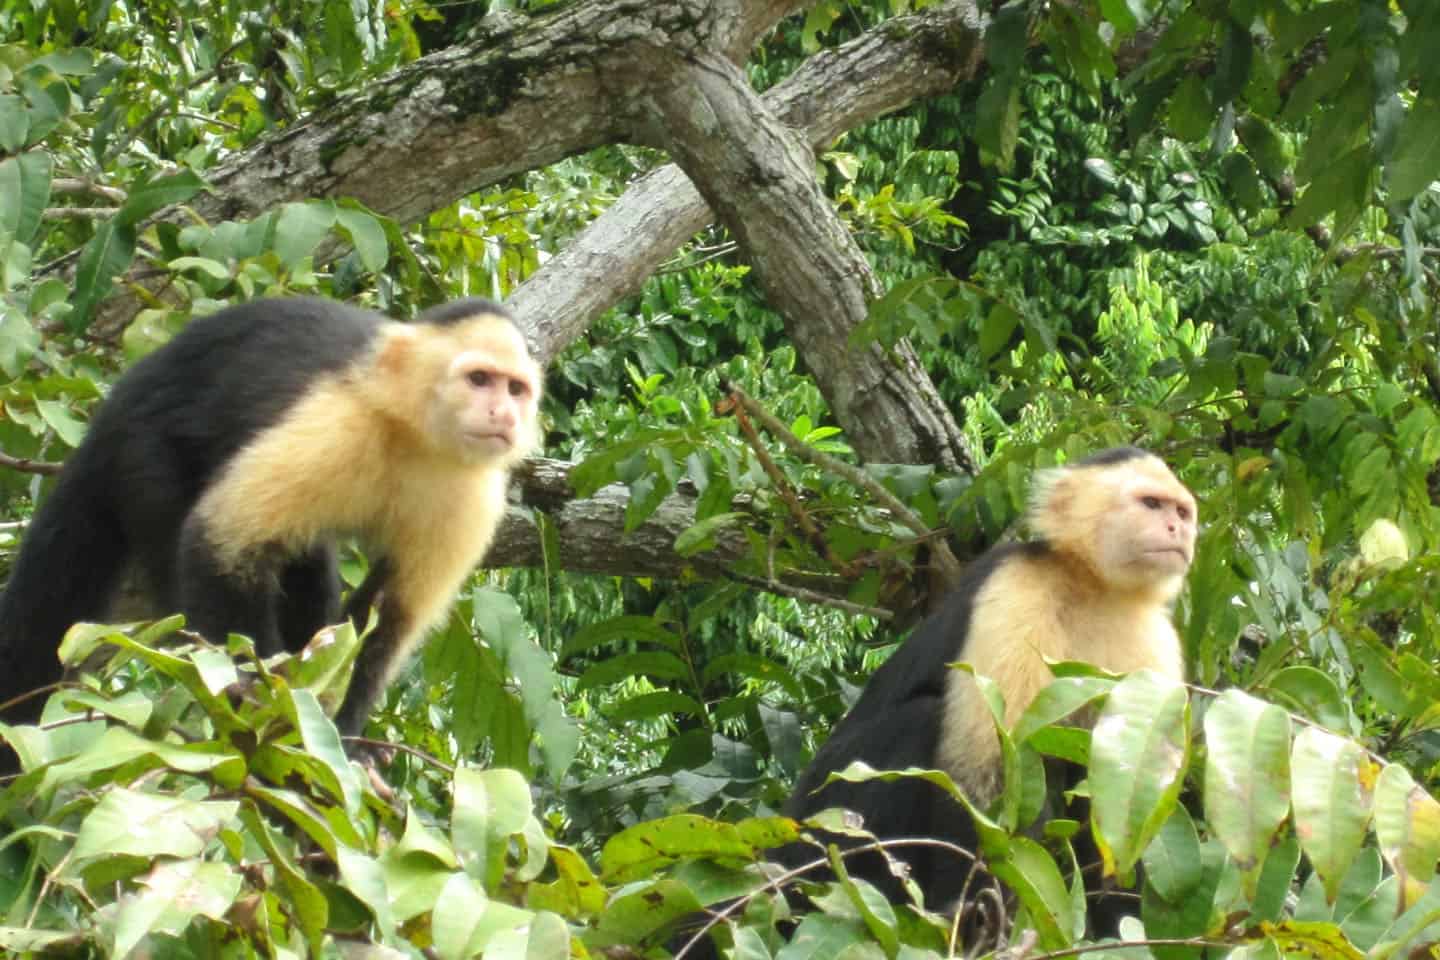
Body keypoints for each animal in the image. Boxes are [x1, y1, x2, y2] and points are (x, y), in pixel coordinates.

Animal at [0, 296, 542, 741]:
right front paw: (259, 693)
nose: (503, 414)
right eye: (478, 380)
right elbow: (221, 539)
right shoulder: (339, 423)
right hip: (142, 446)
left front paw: (346, 737)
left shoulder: (471, 496)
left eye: (516, 389)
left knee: (309, 565)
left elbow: (390, 613)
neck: (416, 436)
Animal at [774, 446, 1196, 933]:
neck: (1096, 586)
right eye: (1151, 504)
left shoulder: (1157, 648)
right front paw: (980, 918)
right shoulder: (1017, 587)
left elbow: (1123, 804)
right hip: (814, 826)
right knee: (919, 720)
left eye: (1182, 512)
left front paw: (1123, 925)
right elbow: (985, 771)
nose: (1177, 530)